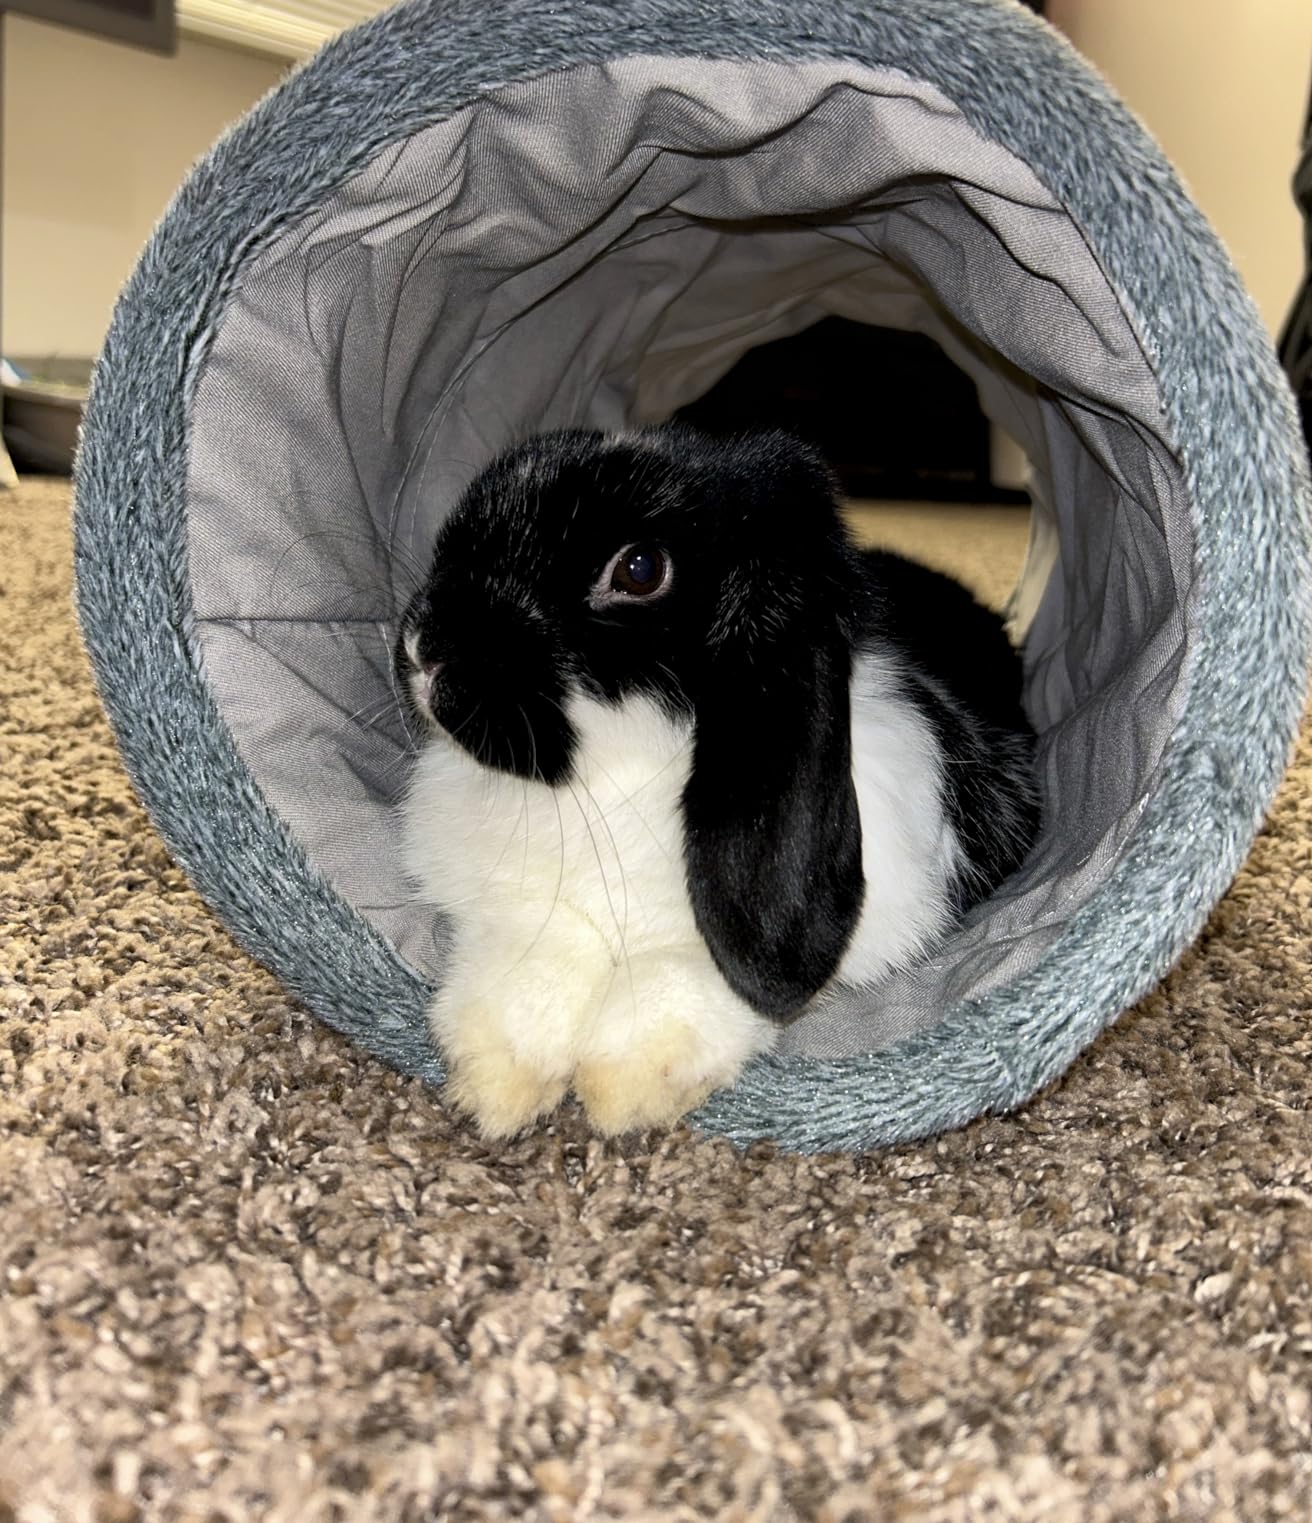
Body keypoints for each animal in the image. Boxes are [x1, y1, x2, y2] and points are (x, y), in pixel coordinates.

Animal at [396, 424, 1039, 1138]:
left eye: (639, 570)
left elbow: (695, 977)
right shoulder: (523, 909)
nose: (424, 649)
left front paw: (624, 1091)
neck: (613, 781)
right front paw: (494, 1089)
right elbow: (534, 962)